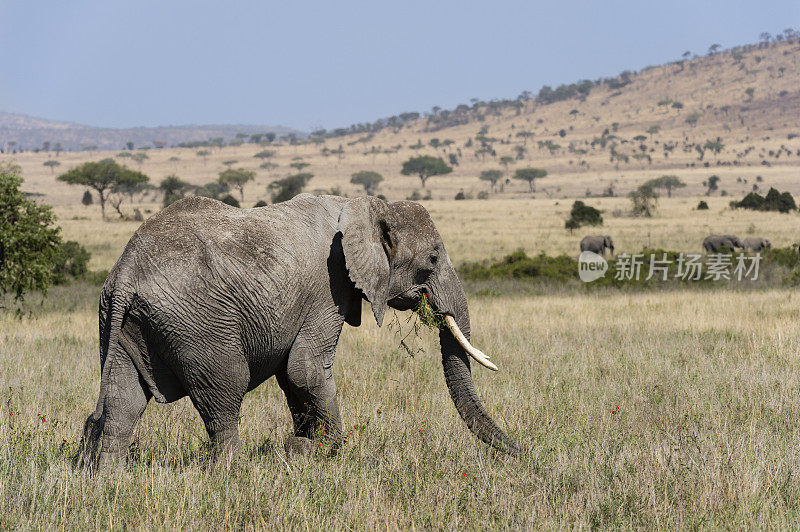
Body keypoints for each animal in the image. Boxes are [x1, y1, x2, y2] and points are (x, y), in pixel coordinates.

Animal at [79, 194, 520, 470]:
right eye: (431, 259)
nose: (522, 449)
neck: (362, 206)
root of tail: (125, 273)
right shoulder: (329, 287)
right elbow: (305, 370)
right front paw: (318, 450)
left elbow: (293, 379)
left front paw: (305, 447)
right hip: (198, 325)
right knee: (225, 395)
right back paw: (230, 475)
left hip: (122, 323)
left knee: (121, 403)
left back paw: (107, 479)